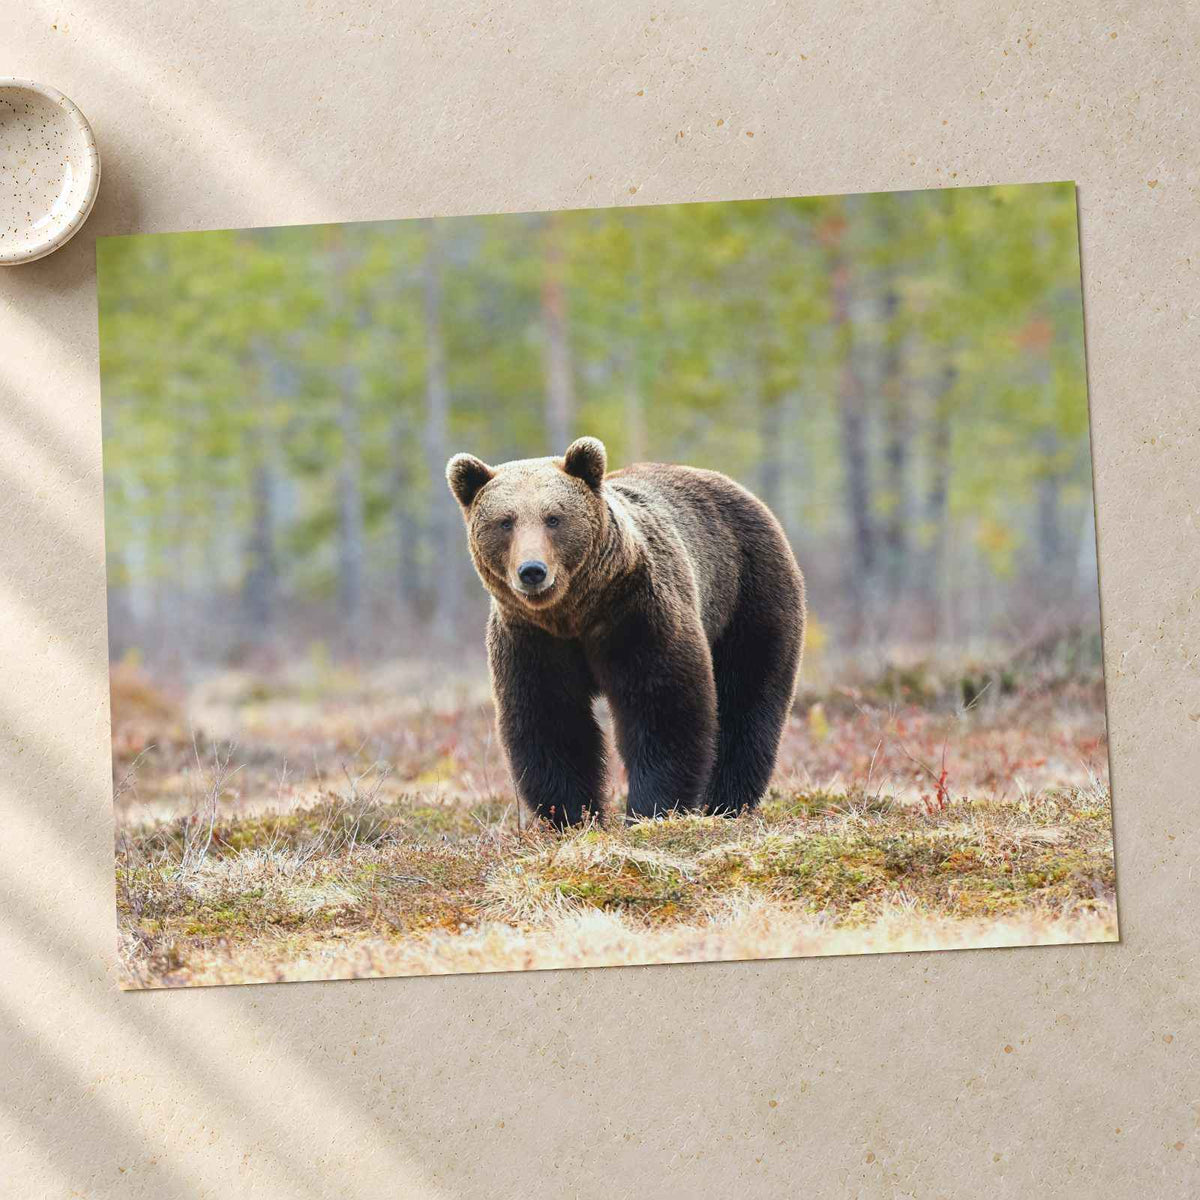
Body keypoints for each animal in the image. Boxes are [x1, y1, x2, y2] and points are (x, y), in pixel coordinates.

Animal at [446, 436, 805, 826]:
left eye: (554, 518)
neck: (575, 613)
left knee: (747, 697)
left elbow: (662, 707)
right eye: (505, 522)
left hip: (749, 593)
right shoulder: (532, 639)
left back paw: (726, 802)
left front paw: (652, 809)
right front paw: (572, 815)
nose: (532, 571)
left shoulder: (636, 614)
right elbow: (550, 720)